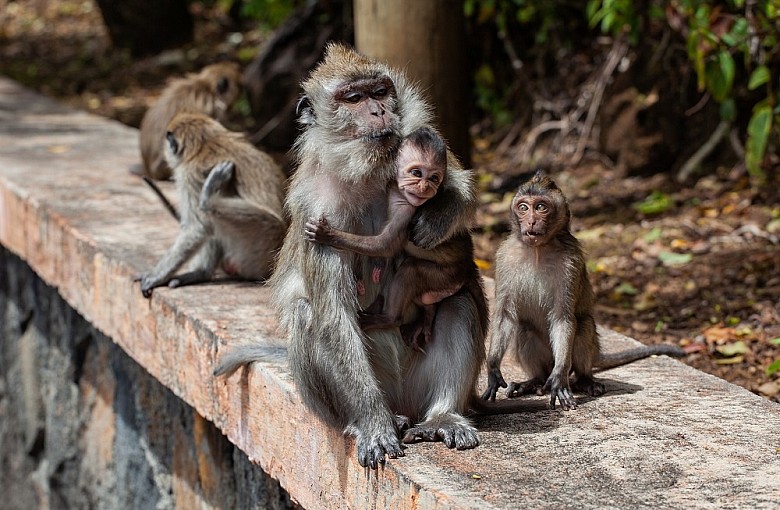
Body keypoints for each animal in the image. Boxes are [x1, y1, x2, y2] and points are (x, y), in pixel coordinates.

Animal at [139, 111, 288, 294]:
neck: (206, 143)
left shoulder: (188, 175)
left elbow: (198, 228)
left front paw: (156, 276)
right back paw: (201, 273)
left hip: (259, 247)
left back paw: (209, 199)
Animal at [304, 126, 476, 350]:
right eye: (416, 173)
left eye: (434, 178)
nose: (424, 187)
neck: (397, 190)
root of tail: (467, 268)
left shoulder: (406, 209)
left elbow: (386, 245)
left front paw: (328, 235)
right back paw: (427, 316)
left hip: (446, 277)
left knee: (410, 271)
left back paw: (390, 318)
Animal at [482, 171, 684, 410]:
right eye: (523, 207)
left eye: (541, 207)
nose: (531, 221)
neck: (538, 249)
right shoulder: (504, 256)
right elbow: (504, 315)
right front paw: (493, 368)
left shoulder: (572, 261)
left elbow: (563, 317)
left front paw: (559, 378)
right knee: (525, 329)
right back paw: (535, 382)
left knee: (583, 325)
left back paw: (584, 380)